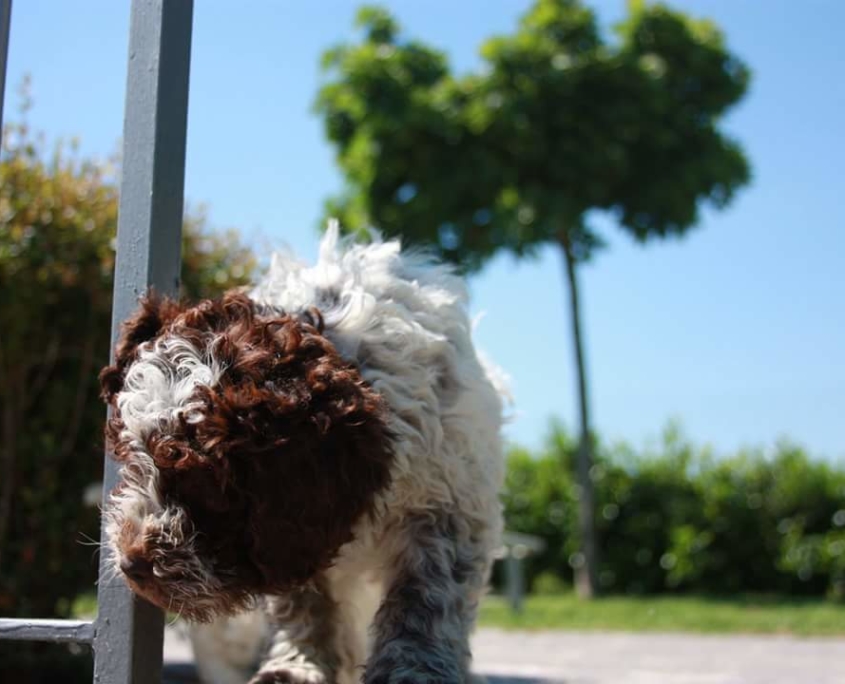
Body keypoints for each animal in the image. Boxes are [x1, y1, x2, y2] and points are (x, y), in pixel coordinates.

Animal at [99, 226, 508, 684]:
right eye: (132, 461)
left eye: (204, 481)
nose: (132, 566)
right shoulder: (293, 532)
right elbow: (301, 599)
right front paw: (297, 666)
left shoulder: (448, 502)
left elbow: (427, 591)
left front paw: (413, 670)